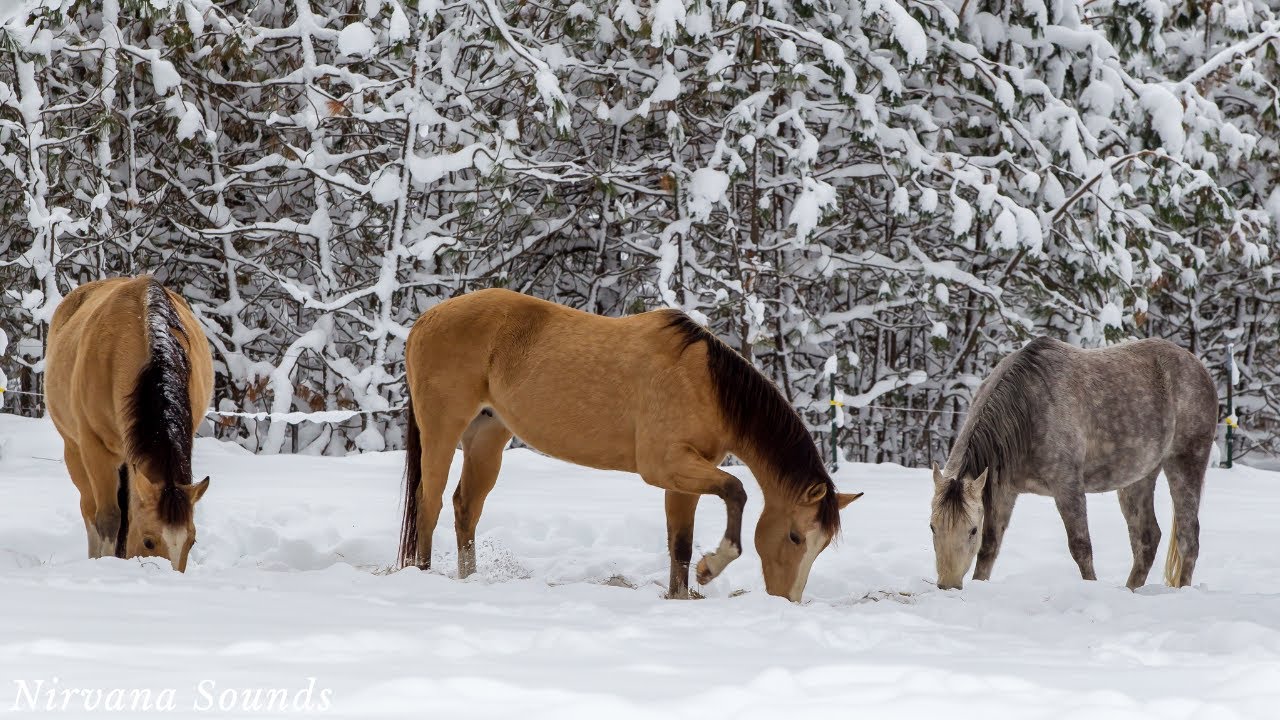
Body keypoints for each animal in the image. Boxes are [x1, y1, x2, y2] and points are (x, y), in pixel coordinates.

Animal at [45, 276, 214, 571]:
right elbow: (109, 519)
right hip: (74, 451)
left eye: (192, 541)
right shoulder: (95, 450)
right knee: (89, 509)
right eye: (148, 541)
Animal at [397, 289, 862, 601]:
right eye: (796, 537)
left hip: (486, 436)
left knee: (465, 507)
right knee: (430, 501)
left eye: (821, 545)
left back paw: (470, 579)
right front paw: (712, 567)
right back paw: (422, 576)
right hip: (442, 428)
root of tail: (426, 319)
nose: (788, 600)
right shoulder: (666, 466)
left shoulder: (683, 478)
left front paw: (680, 595)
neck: (704, 385)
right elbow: (737, 490)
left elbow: (680, 544)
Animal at [930, 336, 1217, 591]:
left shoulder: (1067, 486)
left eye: (971, 530)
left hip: (1185, 463)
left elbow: (1081, 547)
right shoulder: (1004, 491)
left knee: (1188, 538)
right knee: (1147, 539)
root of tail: (1198, 367)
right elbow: (990, 547)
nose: (948, 586)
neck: (1028, 409)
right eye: (932, 527)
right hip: (1138, 478)